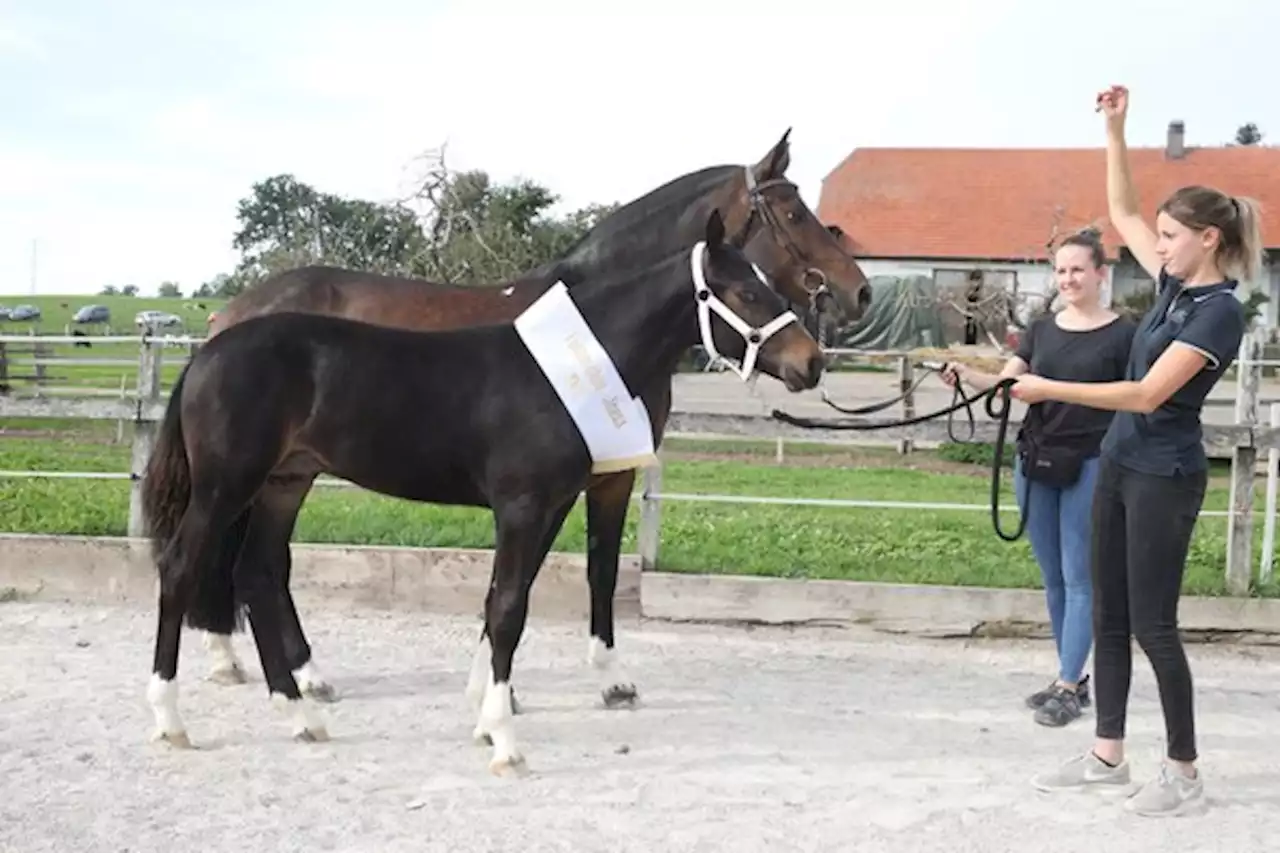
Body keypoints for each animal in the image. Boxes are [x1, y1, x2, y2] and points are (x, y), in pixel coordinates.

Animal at [140, 208, 819, 773]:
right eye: (745, 291)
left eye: (768, 280)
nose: (810, 363)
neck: (570, 368)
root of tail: (209, 350)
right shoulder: (521, 506)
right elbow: (509, 608)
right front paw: (505, 739)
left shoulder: (550, 503)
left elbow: (506, 599)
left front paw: (490, 717)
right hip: (226, 484)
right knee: (180, 567)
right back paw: (171, 720)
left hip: (284, 482)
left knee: (256, 573)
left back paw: (299, 712)